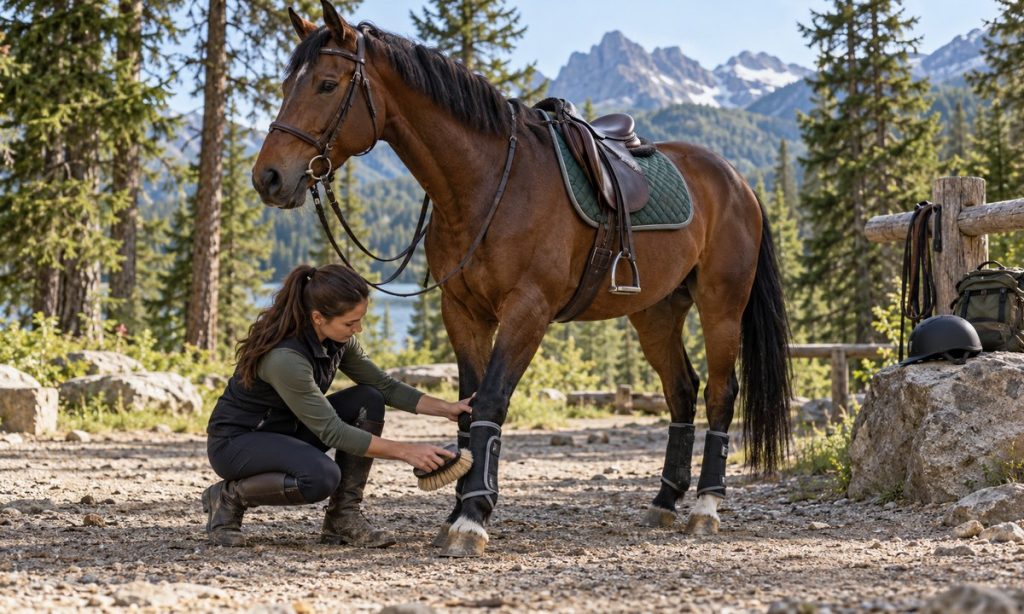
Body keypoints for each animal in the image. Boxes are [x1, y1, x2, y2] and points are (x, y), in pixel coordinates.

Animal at [252, 0, 792, 558]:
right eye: (288, 84)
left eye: (327, 84)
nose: (268, 177)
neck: (490, 183)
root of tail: (737, 180)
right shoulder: (462, 311)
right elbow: (467, 407)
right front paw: (457, 508)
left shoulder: (527, 311)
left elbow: (491, 401)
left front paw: (472, 518)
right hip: (656, 312)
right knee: (681, 392)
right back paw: (665, 501)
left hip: (721, 305)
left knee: (721, 393)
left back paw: (706, 507)